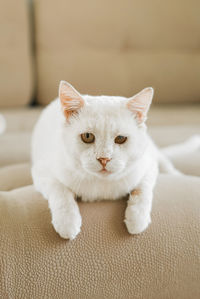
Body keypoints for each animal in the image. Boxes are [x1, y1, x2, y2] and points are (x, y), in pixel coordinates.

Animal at [31, 81, 178, 240]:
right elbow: (60, 191)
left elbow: (142, 190)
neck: (101, 184)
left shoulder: (148, 167)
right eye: (87, 136)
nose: (104, 159)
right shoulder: (41, 172)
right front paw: (67, 223)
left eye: (121, 138)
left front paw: (136, 220)